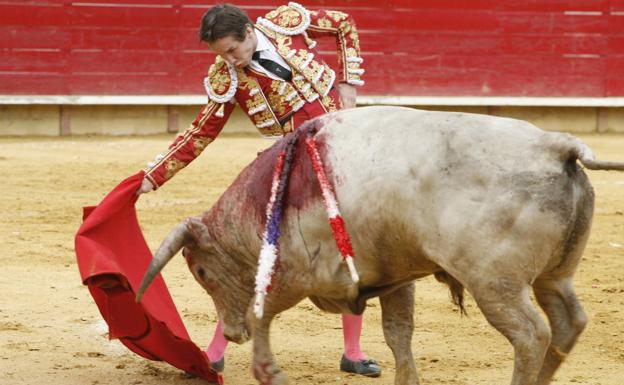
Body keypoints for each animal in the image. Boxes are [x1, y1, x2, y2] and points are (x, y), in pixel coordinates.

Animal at [135, 106, 624, 384]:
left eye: (201, 272)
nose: (232, 333)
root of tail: (558, 146)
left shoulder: (299, 275)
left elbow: (262, 314)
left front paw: (268, 371)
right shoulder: (396, 275)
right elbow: (398, 332)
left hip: (495, 283)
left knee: (530, 333)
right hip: (554, 276)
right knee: (567, 321)